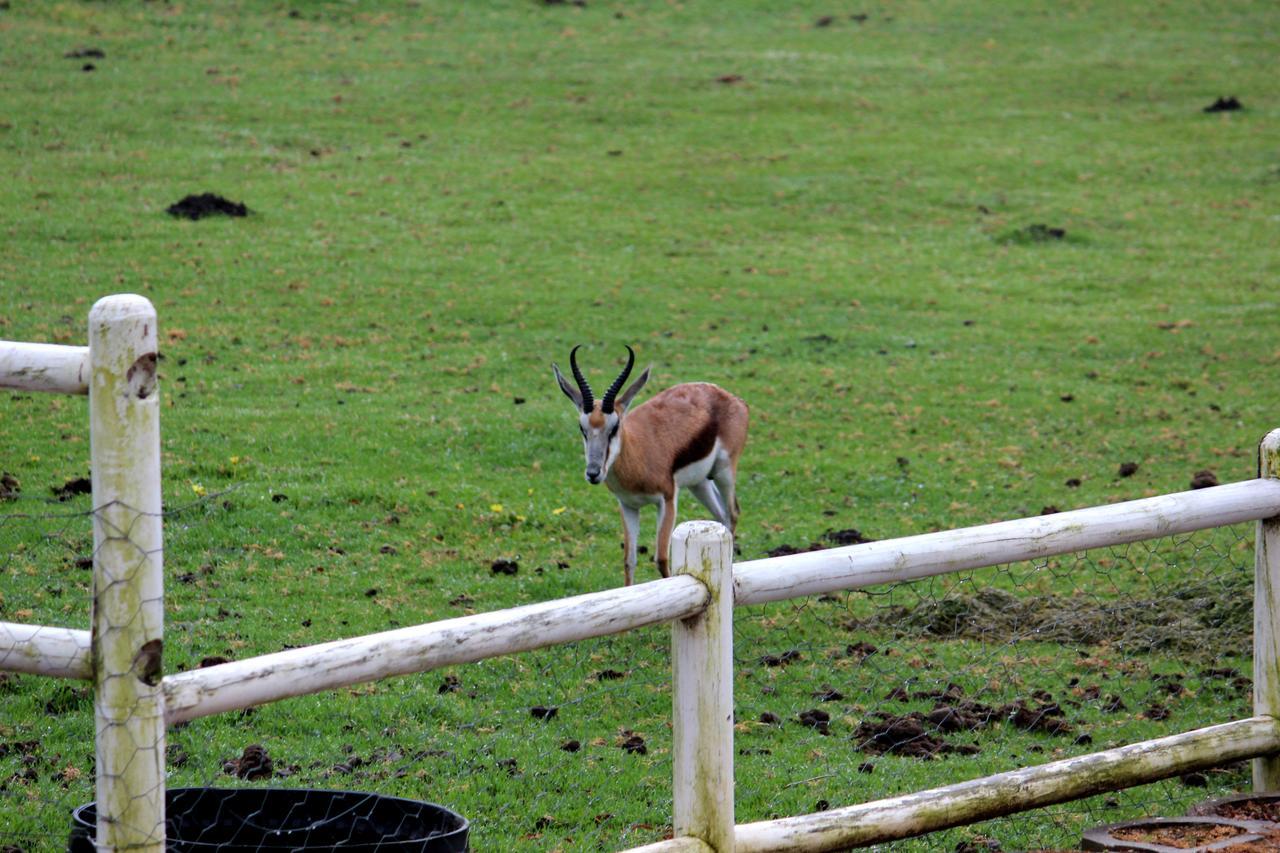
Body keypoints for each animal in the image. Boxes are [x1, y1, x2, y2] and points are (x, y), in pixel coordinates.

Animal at [552, 345, 747, 584]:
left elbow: (661, 559)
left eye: (615, 426)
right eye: (582, 428)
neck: (638, 456)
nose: (593, 473)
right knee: (720, 515)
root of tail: (731, 397)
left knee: (733, 513)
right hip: (699, 483)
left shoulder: (667, 500)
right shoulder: (628, 506)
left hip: (724, 472)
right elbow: (629, 560)